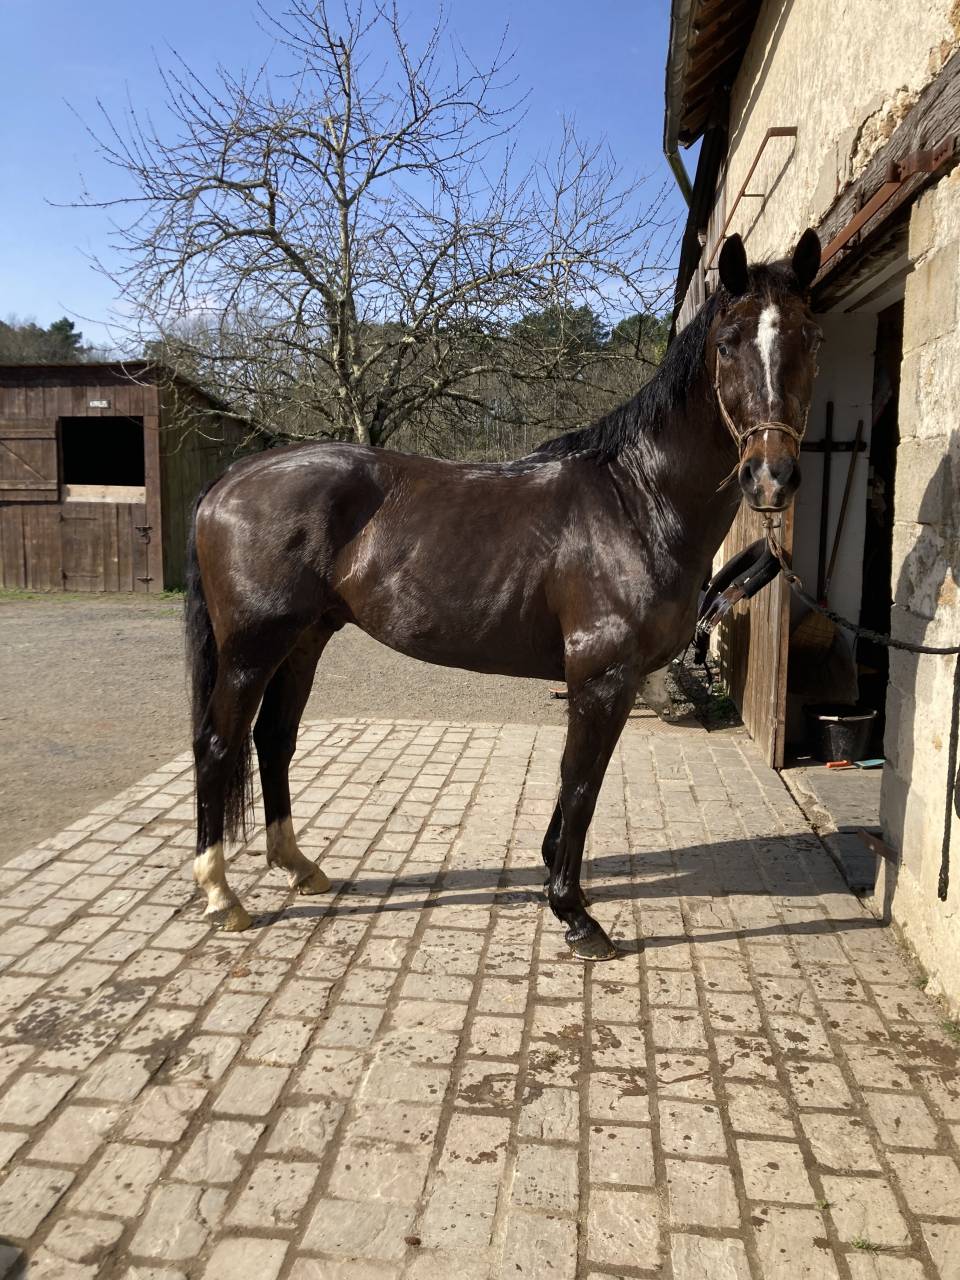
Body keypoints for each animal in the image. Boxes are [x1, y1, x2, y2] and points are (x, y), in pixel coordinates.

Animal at [185, 228, 823, 960]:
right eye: (727, 342)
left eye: (809, 337)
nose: (771, 477)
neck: (636, 500)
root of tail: (232, 478)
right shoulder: (603, 677)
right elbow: (580, 784)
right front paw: (575, 914)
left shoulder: (608, 681)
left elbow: (579, 786)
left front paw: (557, 883)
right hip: (252, 648)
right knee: (218, 744)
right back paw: (221, 895)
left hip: (305, 639)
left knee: (274, 739)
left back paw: (299, 867)